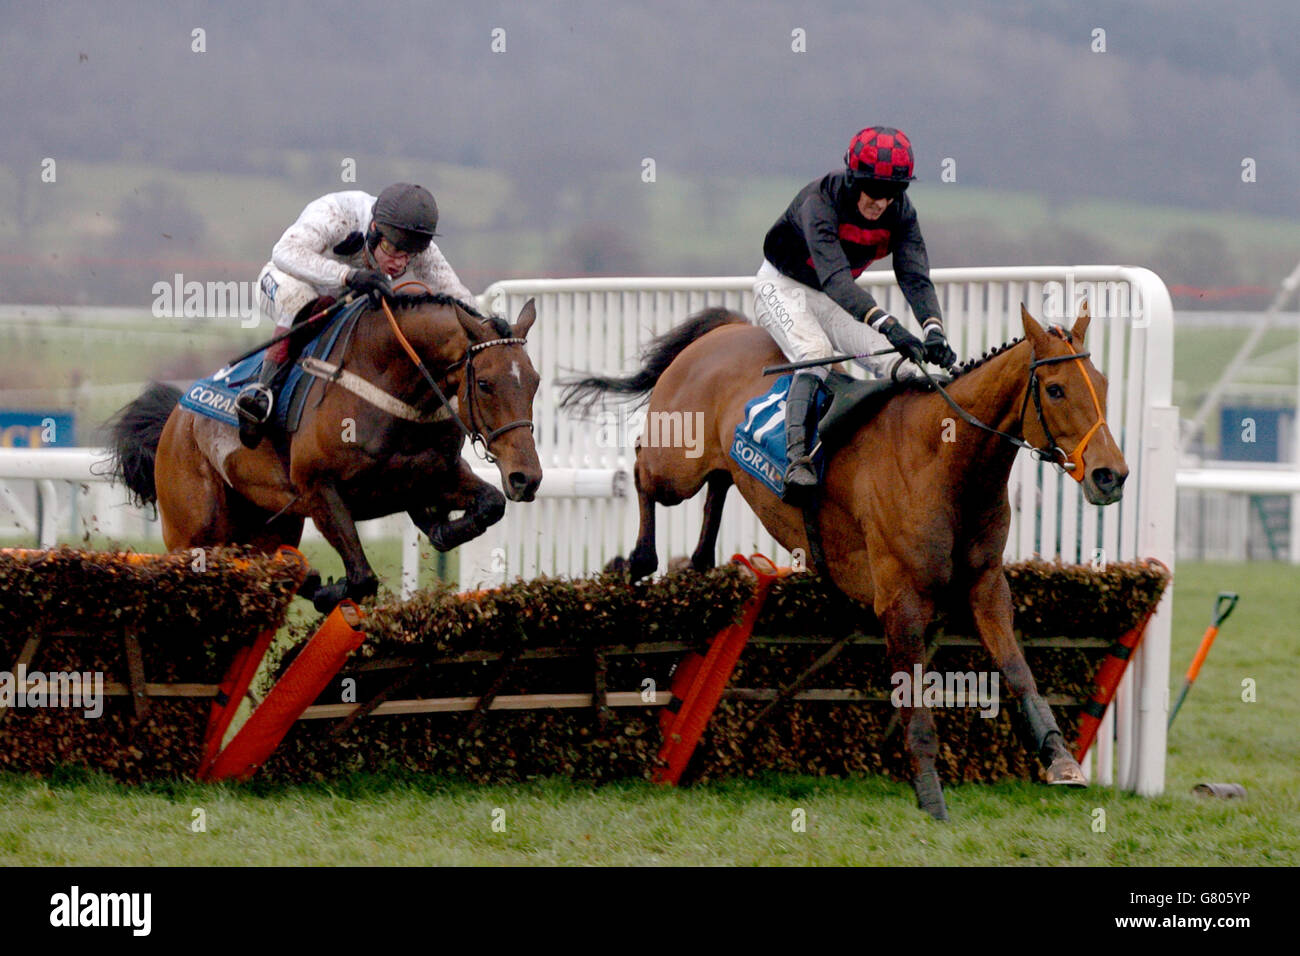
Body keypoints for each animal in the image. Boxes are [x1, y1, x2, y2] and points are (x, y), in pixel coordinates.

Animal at [105, 293, 543, 613]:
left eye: (535, 381)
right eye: (485, 383)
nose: (527, 477)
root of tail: (175, 417)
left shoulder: (436, 475)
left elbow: (490, 504)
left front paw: (440, 526)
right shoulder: (320, 490)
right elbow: (363, 578)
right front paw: (330, 589)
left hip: (268, 526)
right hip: (194, 531)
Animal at [561, 303, 1128, 816]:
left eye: (1102, 384)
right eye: (1055, 389)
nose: (1111, 476)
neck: (947, 462)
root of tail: (724, 331)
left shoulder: (987, 587)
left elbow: (1019, 671)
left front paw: (1060, 758)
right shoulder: (900, 603)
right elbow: (915, 704)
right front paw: (931, 796)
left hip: (715, 466)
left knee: (718, 486)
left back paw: (699, 564)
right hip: (676, 463)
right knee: (641, 468)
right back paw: (639, 560)